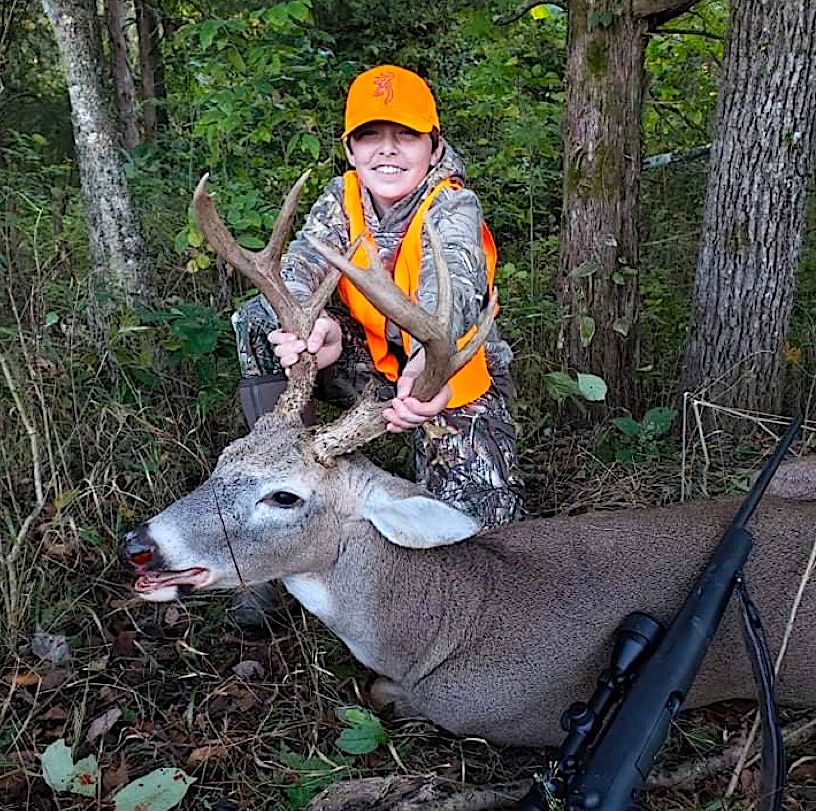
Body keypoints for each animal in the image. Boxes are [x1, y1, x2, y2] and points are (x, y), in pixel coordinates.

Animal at [121, 174, 816, 748]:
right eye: (225, 457)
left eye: (284, 495)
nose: (139, 544)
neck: (440, 623)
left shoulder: (489, 710)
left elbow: (379, 694)